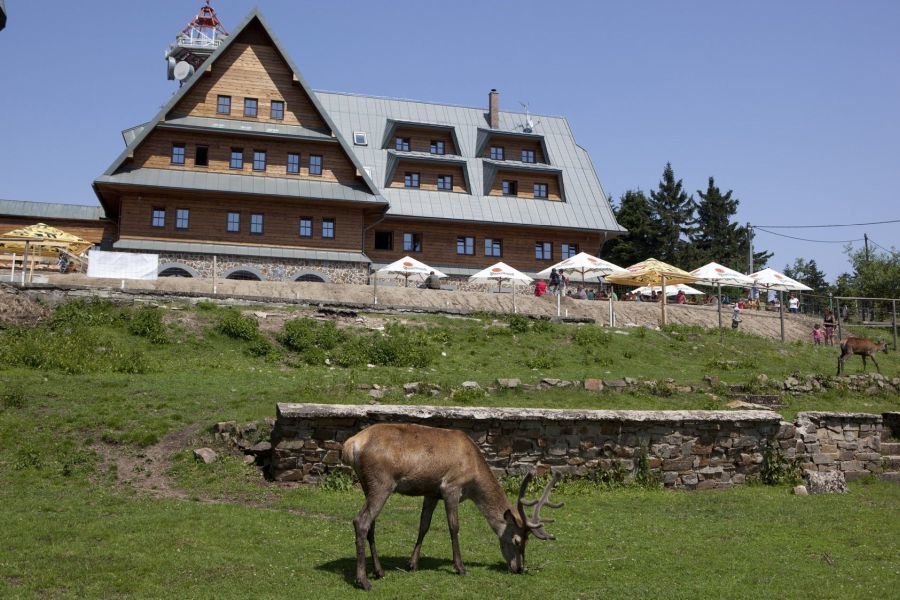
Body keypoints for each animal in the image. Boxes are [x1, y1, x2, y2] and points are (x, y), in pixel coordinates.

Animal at [342, 422, 564, 592]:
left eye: (527, 541)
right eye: (517, 541)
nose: (519, 568)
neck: (474, 473)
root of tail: (351, 445)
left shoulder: (431, 492)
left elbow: (424, 525)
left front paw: (412, 564)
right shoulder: (451, 487)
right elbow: (454, 526)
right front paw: (460, 567)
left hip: (367, 484)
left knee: (371, 524)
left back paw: (379, 571)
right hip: (382, 482)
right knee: (361, 521)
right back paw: (363, 581)